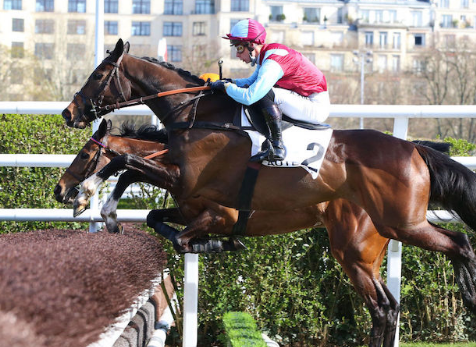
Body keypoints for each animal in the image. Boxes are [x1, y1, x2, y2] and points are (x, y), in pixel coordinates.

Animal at [54, 118, 398, 346]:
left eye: (84, 154)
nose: (60, 190)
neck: (186, 164)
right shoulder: (189, 211)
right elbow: (154, 216)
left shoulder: (220, 216)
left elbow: (180, 238)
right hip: (369, 259)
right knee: (391, 307)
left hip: (352, 256)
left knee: (380, 309)